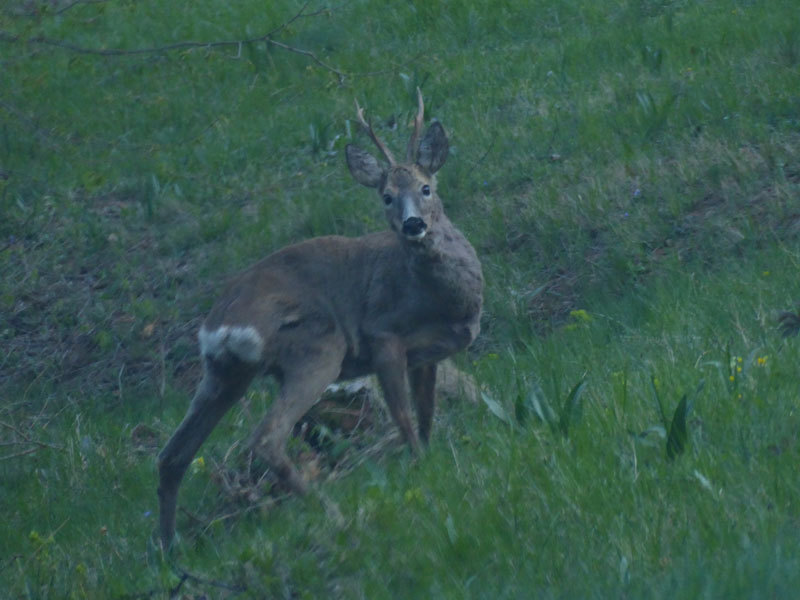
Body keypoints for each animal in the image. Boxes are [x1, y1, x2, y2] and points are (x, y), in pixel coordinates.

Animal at [155, 90, 482, 548]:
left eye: (426, 187)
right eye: (385, 196)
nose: (413, 224)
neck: (447, 301)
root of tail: (219, 326)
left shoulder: (429, 354)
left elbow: (426, 412)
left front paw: (434, 455)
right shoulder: (382, 335)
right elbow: (403, 417)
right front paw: (420, 465)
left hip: (225, 373)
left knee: (172, 455)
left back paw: (168, 550)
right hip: (318, 346)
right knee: (266, 438)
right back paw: (331, 512)